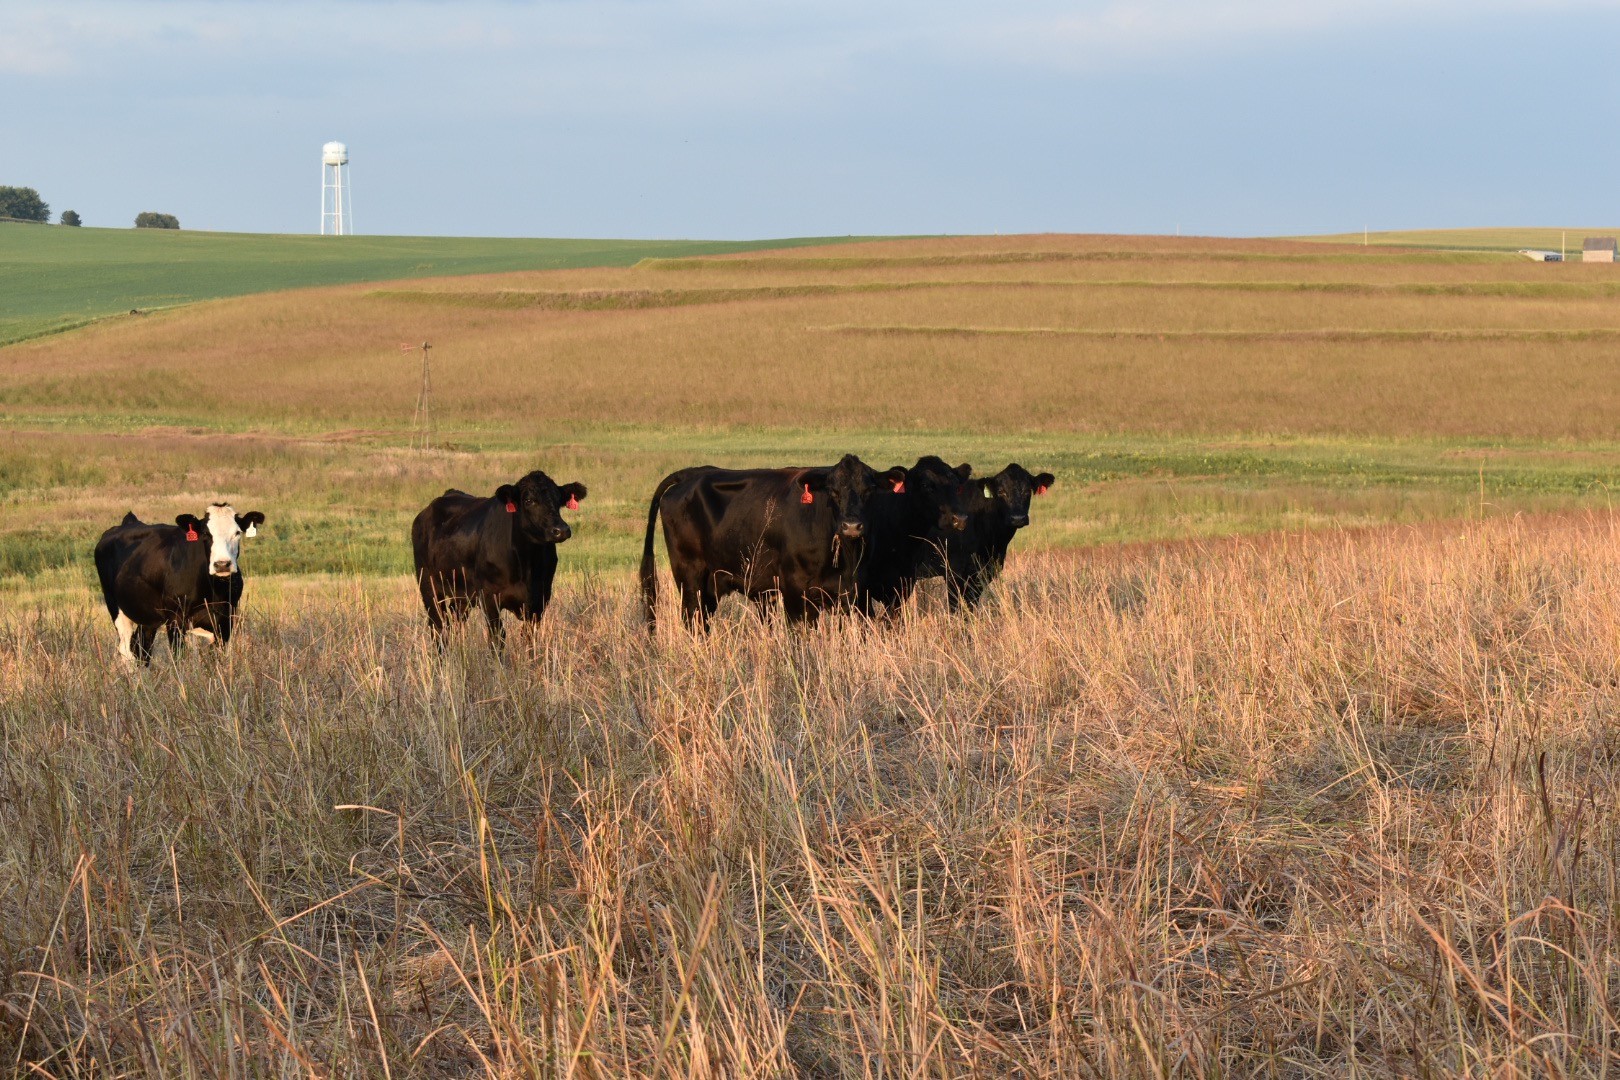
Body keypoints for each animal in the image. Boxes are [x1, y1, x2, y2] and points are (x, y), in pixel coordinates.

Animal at [95, 501, 265, 663]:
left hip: (147, 616)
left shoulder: (225, 620)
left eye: (237, 533)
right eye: (206, 533)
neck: (212, 589)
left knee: (141, 648)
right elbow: (179, 657)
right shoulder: (175, 619)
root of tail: (128, 522)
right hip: (116, 608)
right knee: (126, 651)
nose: (222, 564)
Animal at [411, 469, 589, 647]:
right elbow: (497, 636)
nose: (561, 530)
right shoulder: (489, 597)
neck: (526, 565)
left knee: (455, 623)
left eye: (559, 500)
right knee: (438, 626)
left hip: (462, 594)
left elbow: (529, 637)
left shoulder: (540, 598)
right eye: (529, 500)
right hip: (428, 585)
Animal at [635, 453, 913, 625]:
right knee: (693, 620)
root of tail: (692, 473)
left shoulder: (857, 593)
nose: (852, 526)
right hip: (690, 576)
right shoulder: (794, 591)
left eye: (870, 490)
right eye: (833, 491)